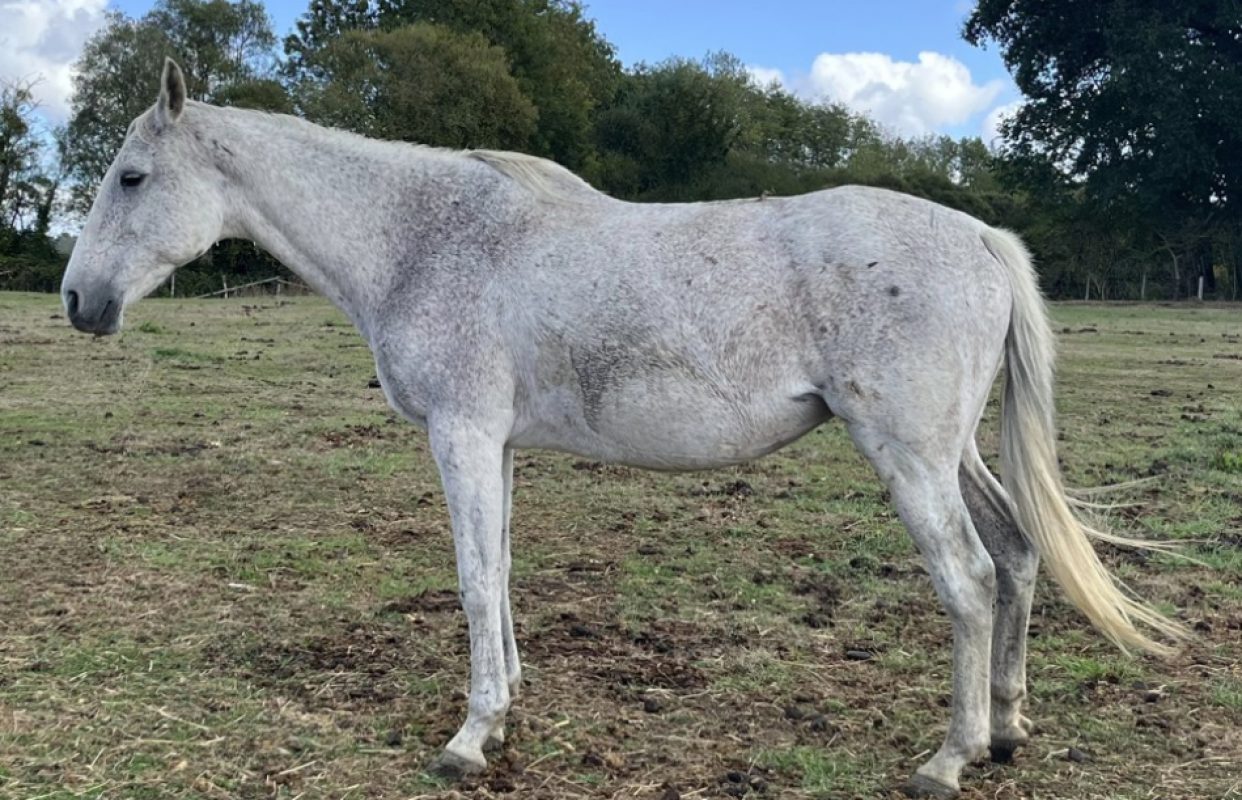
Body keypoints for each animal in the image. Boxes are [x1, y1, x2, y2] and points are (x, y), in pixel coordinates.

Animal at [59, 59, 1185, 799]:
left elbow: (473, 576)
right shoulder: (497, 446)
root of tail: (981, 235)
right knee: (1018, 553)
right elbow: (501, 571)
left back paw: (947, 758)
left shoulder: (461, 436)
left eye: (130, 178)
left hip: (909, 457)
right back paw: (1005, 726)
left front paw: (469, 736)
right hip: (954, 453)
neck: (427, 240)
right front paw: (508, 700)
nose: (78, 302)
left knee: (970, 578)